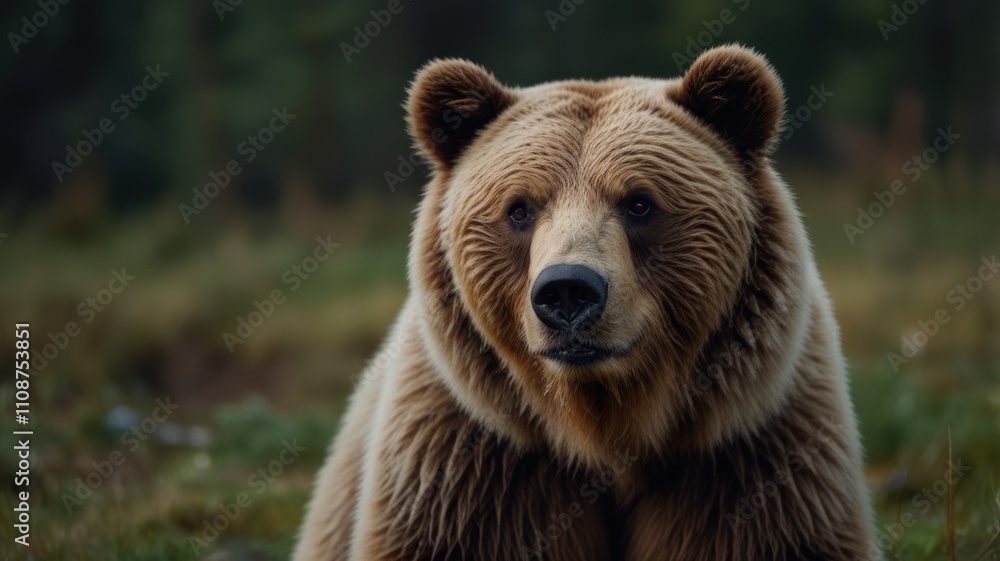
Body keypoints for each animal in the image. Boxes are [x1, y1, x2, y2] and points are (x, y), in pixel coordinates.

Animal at [292, 44, 874, 561]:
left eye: (639, 203)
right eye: (520, 208)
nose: (568, 290)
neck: (602, 427)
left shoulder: (748, 462)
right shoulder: (473, 470)